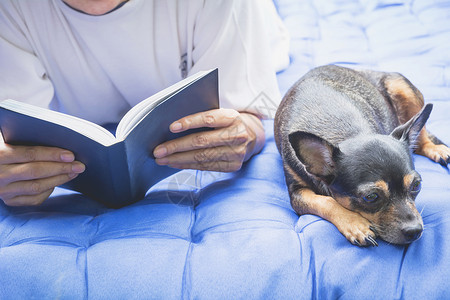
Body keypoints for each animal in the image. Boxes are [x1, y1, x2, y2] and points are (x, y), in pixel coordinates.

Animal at [274, 65, 450, 246]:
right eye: (371, 197)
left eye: (416, 185)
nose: (415, 230)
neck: (348, 132)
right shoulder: (297, 193)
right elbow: (326, 201)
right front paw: (356, 224)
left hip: (402, 87)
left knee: (422, 138)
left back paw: (437, 149)